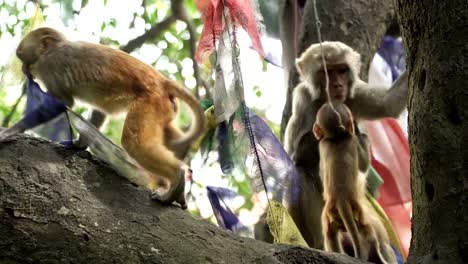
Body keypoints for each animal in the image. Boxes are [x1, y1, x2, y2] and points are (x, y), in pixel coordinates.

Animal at [312, 103, 396, 264]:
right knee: (368, 232)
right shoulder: (351, 141)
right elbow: (363, 165)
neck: (337, 138)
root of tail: (342, 200)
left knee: (331, 235)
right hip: (357, 213)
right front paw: (363, 136)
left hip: (331, 215)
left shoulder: (323, 144)